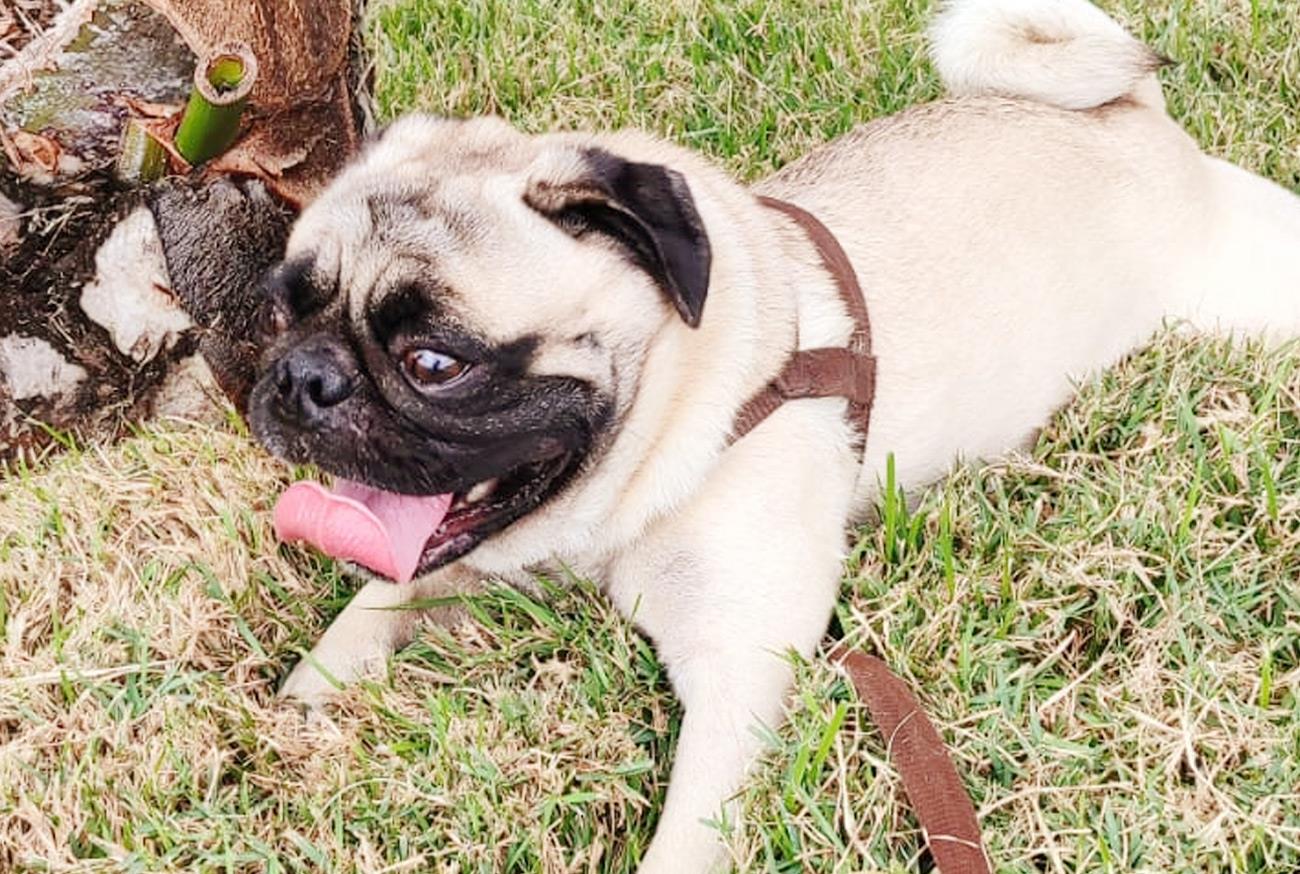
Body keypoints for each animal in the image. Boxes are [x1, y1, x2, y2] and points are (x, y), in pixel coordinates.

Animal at [245, 0, 1300, 868]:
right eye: (280, 311)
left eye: (434, 363)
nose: (302, 379)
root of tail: (1136, 115)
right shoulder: (488, 558)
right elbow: (372, 604)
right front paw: (299, 705)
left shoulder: (739, 678)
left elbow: (685, 844)